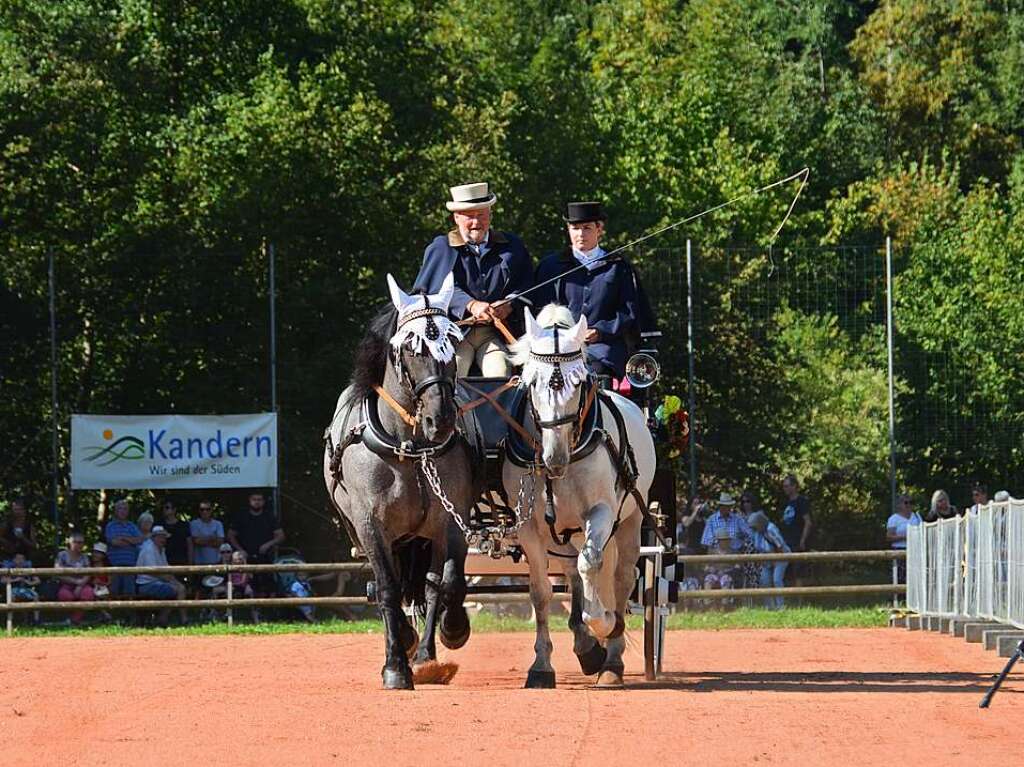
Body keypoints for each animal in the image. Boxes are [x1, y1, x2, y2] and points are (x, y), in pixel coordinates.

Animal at [323, 274, 475, 688]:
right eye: (411, 349)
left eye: (453, 344)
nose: (441, 420)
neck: (411, 446)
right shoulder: (371, 526)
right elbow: (388, 588)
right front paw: (395, 665)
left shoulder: (451, 520)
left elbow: (448, 582)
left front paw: (453, 628)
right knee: (386, 584)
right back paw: (404, 642)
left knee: (431, 583)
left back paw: (425, 656)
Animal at [503, 305, 655, 688]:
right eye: (532, 382)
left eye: (579, 382)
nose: (554, 458)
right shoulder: (527, 527)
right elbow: (541, 592)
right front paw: (541, 665)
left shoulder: (601, 513)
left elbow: (592, 567)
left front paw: (602, 622)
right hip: (566, 533)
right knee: (573, 572)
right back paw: (588, 647)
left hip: (630, 520)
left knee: (620, 576)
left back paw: (611, 658)